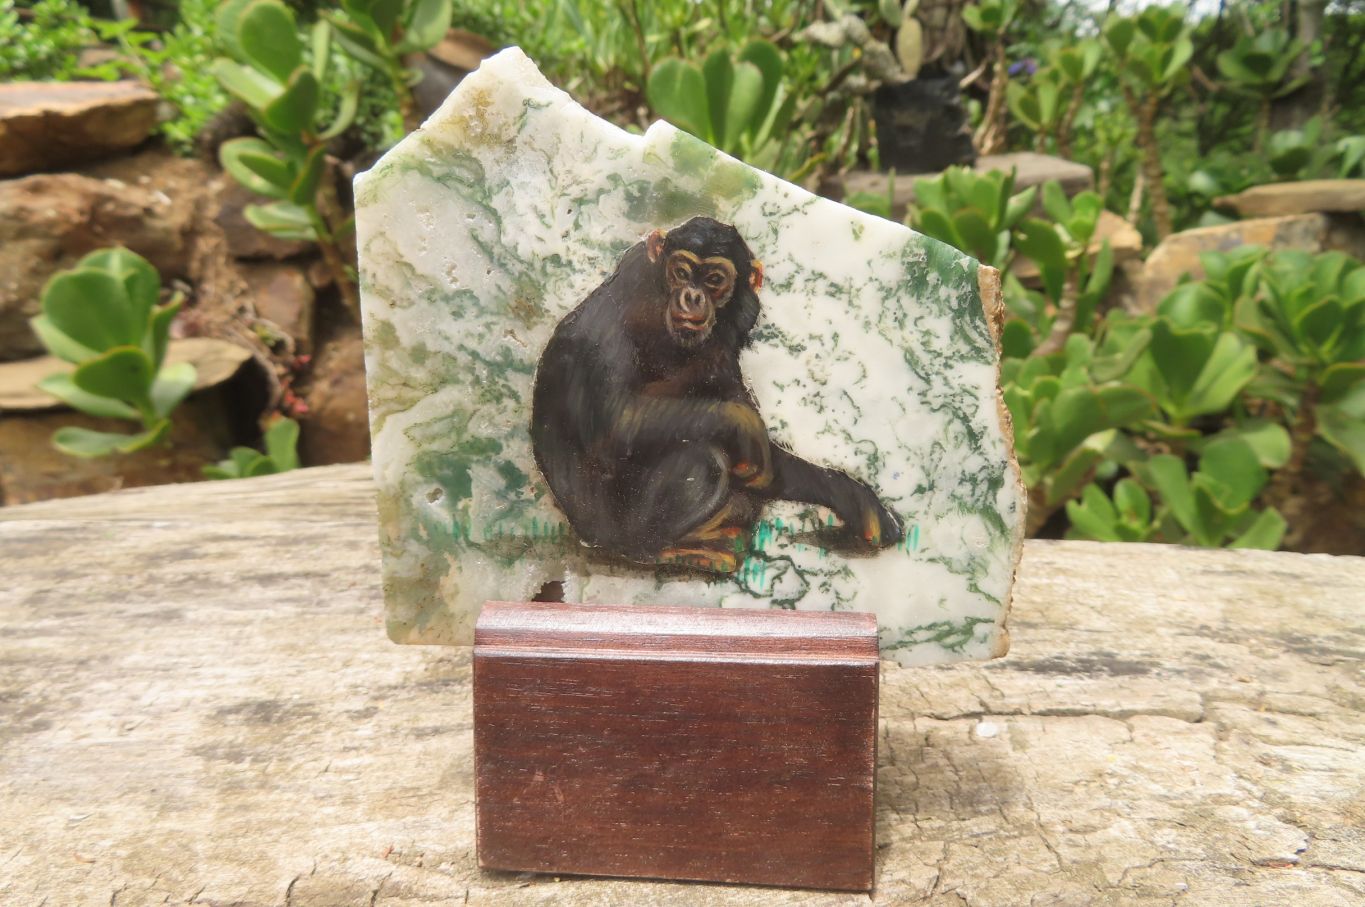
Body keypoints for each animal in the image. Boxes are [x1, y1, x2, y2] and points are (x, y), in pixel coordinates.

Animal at [530, 216, 902, 574]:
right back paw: (667, 549)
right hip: (612, 527)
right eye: (681, 273)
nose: (692, 296)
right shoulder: (621, 306)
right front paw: (743, 425)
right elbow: (614, 423)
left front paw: (856, 501)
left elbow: (767, 461)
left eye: (713, 279)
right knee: (703, 460)